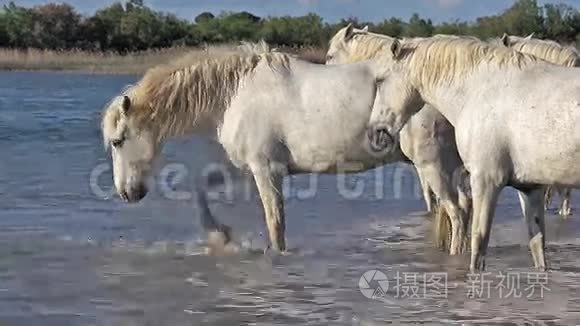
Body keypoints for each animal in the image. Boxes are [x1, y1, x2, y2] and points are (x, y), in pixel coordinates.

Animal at [101, 42, 404, 253]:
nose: (126, 193)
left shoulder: (266, 169)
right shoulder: (245, 168)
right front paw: (220, 235)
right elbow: (199, 188)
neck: (236, 93)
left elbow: (275, 224)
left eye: (118, 141)